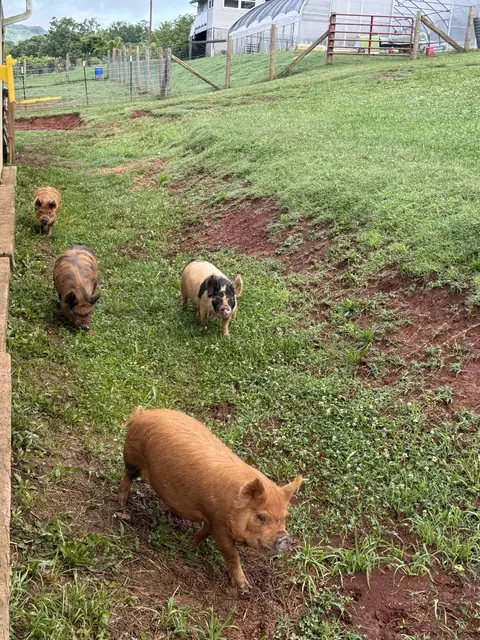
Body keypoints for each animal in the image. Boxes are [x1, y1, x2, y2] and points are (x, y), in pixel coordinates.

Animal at [118, 408, 302, 592]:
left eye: (284, 518)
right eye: (261, 517)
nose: (284, 538)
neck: (233, 504)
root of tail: (141, 414)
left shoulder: (211, 519)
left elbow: (204, 533)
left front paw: (191, 543)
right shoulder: (219, 524)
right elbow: (232, 554)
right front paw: (244, 586)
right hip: (132, 455)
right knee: (128, 476)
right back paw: (121, 502)